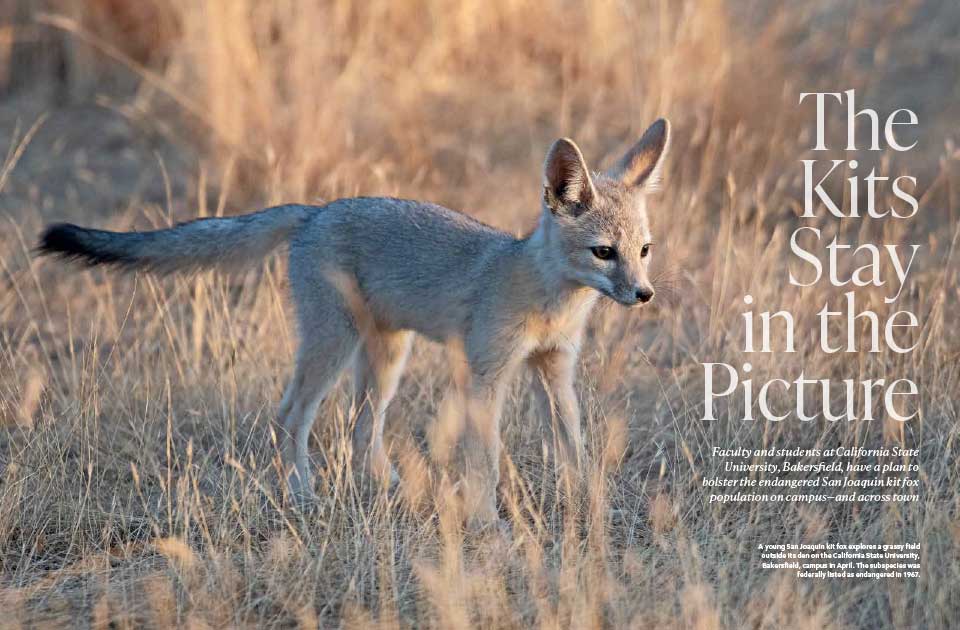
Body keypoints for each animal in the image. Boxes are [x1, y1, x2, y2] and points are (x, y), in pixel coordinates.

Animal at [37, 118, 670, 527]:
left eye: (644, 250)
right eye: (603, 253)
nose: (643, 294)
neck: (546, 295)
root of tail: (316, 211)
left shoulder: (553, 369)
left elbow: (574, 449)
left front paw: (587, 509)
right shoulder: (483, 375)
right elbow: (485, 460)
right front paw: (488, 527)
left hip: (386, 356)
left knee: (360, 428)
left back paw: (393, 490)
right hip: (334, 344)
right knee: (290, 416)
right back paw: (304, 497)